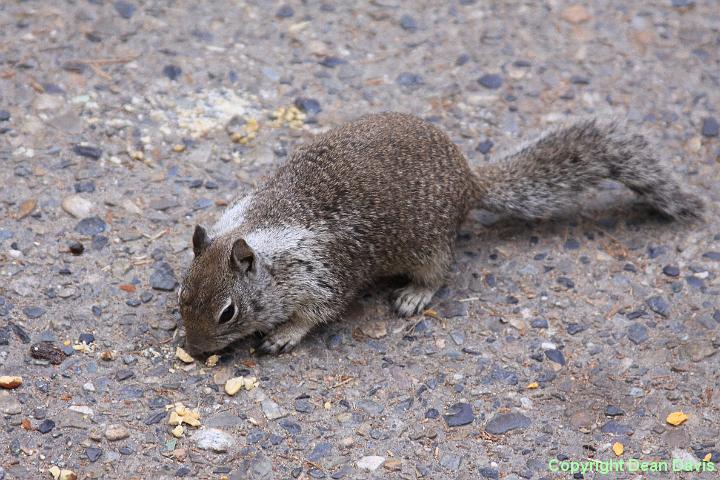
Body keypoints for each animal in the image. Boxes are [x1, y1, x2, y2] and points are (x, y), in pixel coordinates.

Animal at [179, 111, 704, 356]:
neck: (259, 233)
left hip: (430, 247)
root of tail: (471, 182)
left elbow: (319, 312)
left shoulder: (325, 272)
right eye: (182, 295)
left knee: (440, 273)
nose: (195, 349)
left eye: (227, 312)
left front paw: (284, 335)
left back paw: (415, 294)